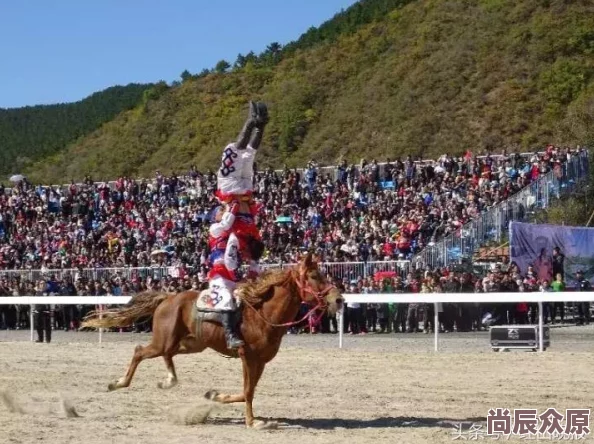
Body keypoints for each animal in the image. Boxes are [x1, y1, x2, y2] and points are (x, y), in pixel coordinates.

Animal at [83, 255, 342, 428]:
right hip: (163, 341)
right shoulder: (247, 357)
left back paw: (168, 380)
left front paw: (216, 396)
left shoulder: (261, 361)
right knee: (140, 351)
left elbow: (248, 391)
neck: (263, 313)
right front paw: (252, 422)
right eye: (314, 276)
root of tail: (167, 298)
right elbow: (248, 391)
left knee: (167, 355)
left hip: (189, 344)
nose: (339, 299)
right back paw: (118, 383)